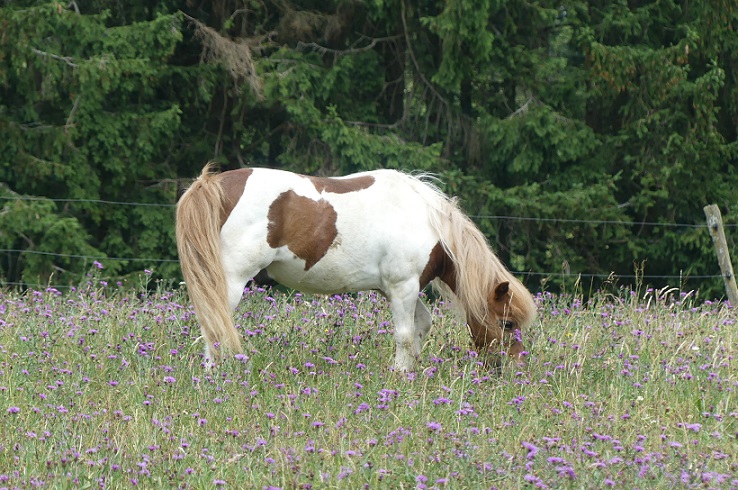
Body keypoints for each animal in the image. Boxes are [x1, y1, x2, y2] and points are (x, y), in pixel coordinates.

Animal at [177, 163, 536, 370]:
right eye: (507, 324)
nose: (516, 369)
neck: (428, 222)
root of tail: (215, 184)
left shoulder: (402, 289)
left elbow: (421, 326)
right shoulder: (403, 287)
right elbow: (405, 334)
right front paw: (399, 377)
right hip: (230, 282)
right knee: (214, 326)